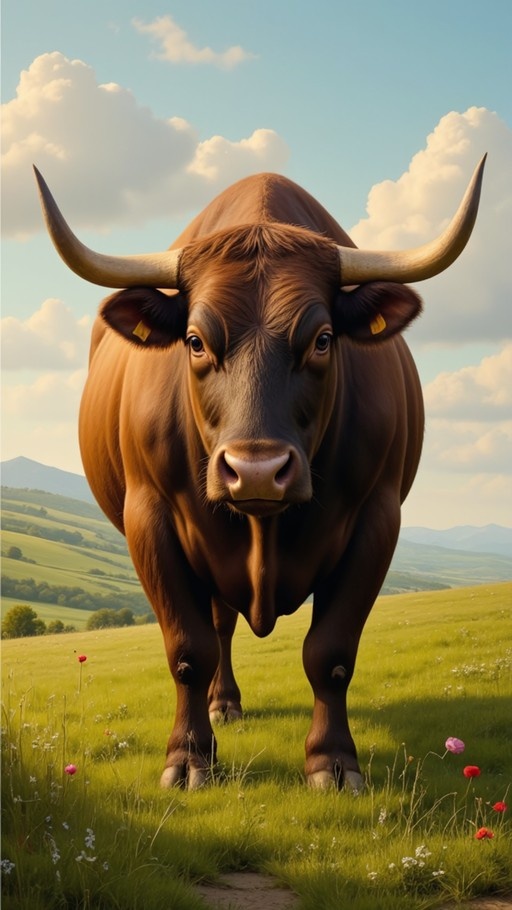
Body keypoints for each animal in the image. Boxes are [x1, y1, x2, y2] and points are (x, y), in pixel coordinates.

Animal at [34, 158, 485, 791]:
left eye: (323, 339)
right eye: (195, 341)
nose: (255, 472)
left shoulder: (377, 518)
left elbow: (331, 652)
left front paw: (332, 762)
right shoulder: (149, 518)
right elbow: (188, 649)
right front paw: (190, 758)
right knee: (219, 628)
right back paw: (223, 705)